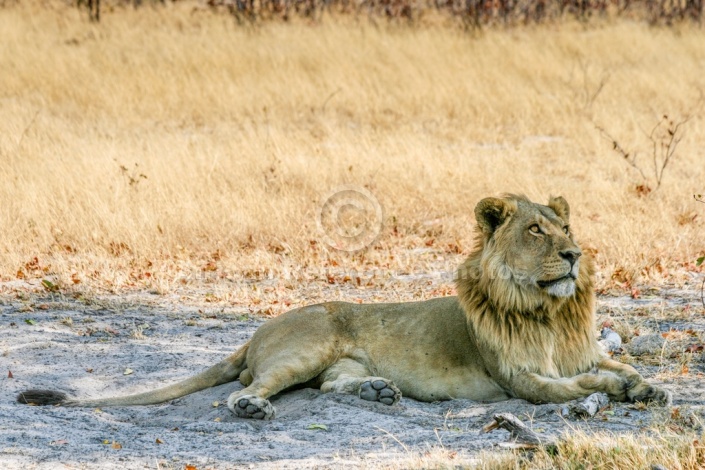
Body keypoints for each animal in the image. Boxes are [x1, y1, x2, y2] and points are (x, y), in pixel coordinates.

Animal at [17, 195, 672, 418]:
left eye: (566, 227)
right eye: (537, 230)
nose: (575, 253)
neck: (548, 312)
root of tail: (258, 330)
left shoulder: (576, 351)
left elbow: (618, 363)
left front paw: (647, 386)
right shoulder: (519, 379)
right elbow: (575, 386)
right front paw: (617, 391)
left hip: (334, 363)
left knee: (332, 386)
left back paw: (378, 392)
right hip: (303, 349)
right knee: (251, 387)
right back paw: (252, 407)